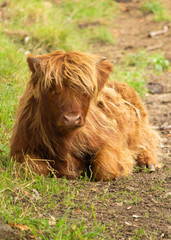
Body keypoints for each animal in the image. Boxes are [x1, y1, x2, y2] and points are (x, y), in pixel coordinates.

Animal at [9, 50, 159, 180]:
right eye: (51, 88)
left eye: (86, 90)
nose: (71, 119)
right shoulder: (20, 150)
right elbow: (37, 168)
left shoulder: (111, 143)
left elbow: (104, 169)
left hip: (139, 128)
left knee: (146, 142)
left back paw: (147, 162)